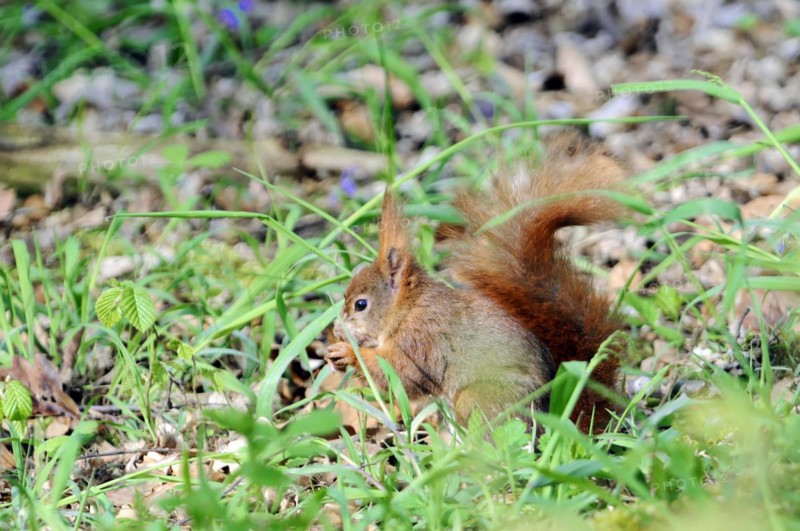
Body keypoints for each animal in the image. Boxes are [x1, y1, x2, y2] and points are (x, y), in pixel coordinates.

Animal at [325, 132, 626, 433]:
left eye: (361, 304)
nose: (337, 330)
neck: (408, 309)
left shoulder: (421, 341)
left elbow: (400, 373)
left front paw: (347, 353)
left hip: (478, 399)